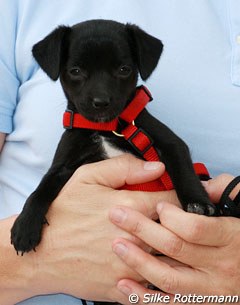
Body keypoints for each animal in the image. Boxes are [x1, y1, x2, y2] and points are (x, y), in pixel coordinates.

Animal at [10, 18, 216, 254]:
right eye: (75, 70)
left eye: (124, 69)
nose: (101, 102)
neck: (106, 129)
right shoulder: (63, 167)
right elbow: (41, 189)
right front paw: (25, 226)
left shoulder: (171, 143)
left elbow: (183, 169)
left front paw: (198, 202)